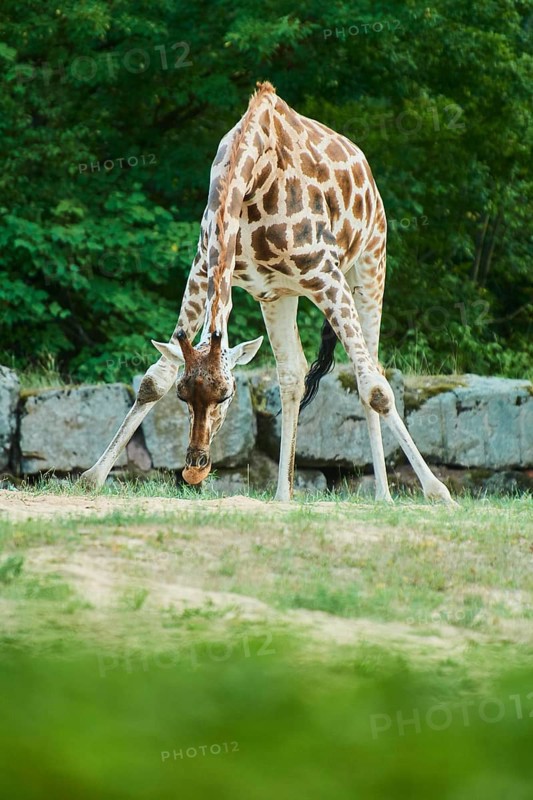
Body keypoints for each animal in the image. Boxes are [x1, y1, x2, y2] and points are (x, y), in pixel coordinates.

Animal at [80, 81, 454, 505]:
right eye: (182, 396)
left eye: (227, 395)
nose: (195, 469)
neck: (252, 176)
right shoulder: (203, 267)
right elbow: (152, 380)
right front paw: (92, 477)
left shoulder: (327, 275)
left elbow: (376, 389)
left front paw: (439, 491)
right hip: (279, 295)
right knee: (292, 374)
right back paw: (283, 494)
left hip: (370, 264)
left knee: (370, 368)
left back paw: (383, 496)